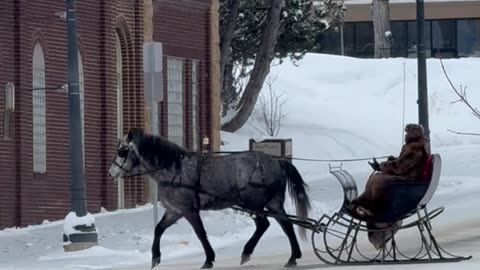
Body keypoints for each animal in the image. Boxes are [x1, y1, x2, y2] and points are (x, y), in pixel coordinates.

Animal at [108, 128, 312, 268]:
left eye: (122, 151)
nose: (111, 172)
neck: (173, 169)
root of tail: (277, 161)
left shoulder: (189, 210)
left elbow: (200, 233)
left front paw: (208, 259)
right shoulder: (174, 210)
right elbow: (159, 229)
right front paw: (155, 258)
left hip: (254, 204)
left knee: (264, 225)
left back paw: (247, 252)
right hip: (273, 203)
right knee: (286, 225)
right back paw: (293, 257)